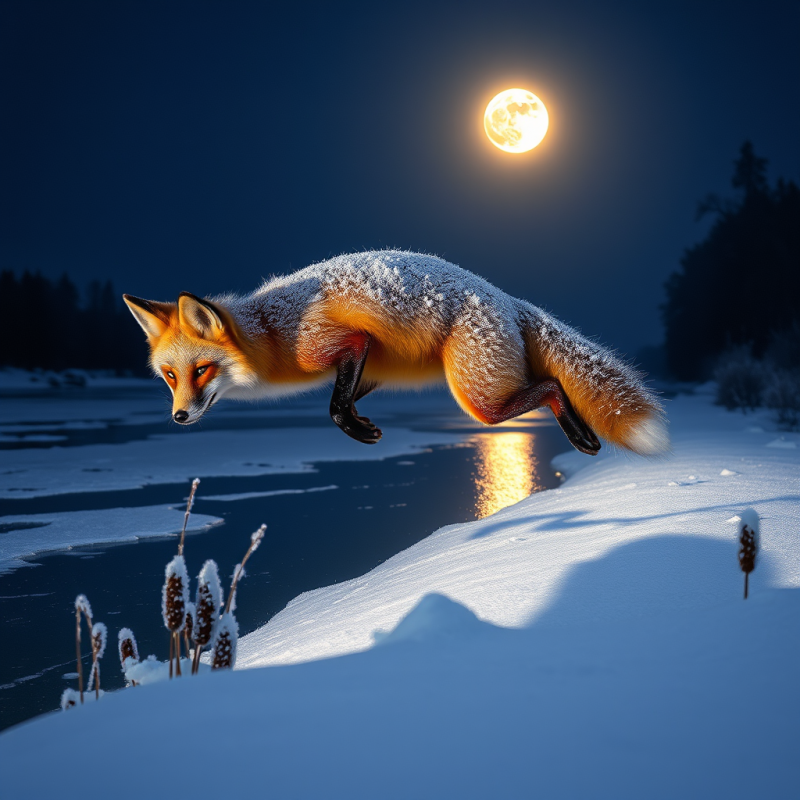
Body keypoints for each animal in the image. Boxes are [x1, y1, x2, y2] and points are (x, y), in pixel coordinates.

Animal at [123, 250, 668, 456]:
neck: (274, 336)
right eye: (170, 376)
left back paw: (581, 436)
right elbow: (342, 400)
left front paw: (356, 427)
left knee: (553, 385)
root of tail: (505, 297)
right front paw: (361, 424)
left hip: (479, 398)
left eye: (202, 369)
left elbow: (334, 404)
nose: (178, 416)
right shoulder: (373, 362)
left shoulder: (342, 344)